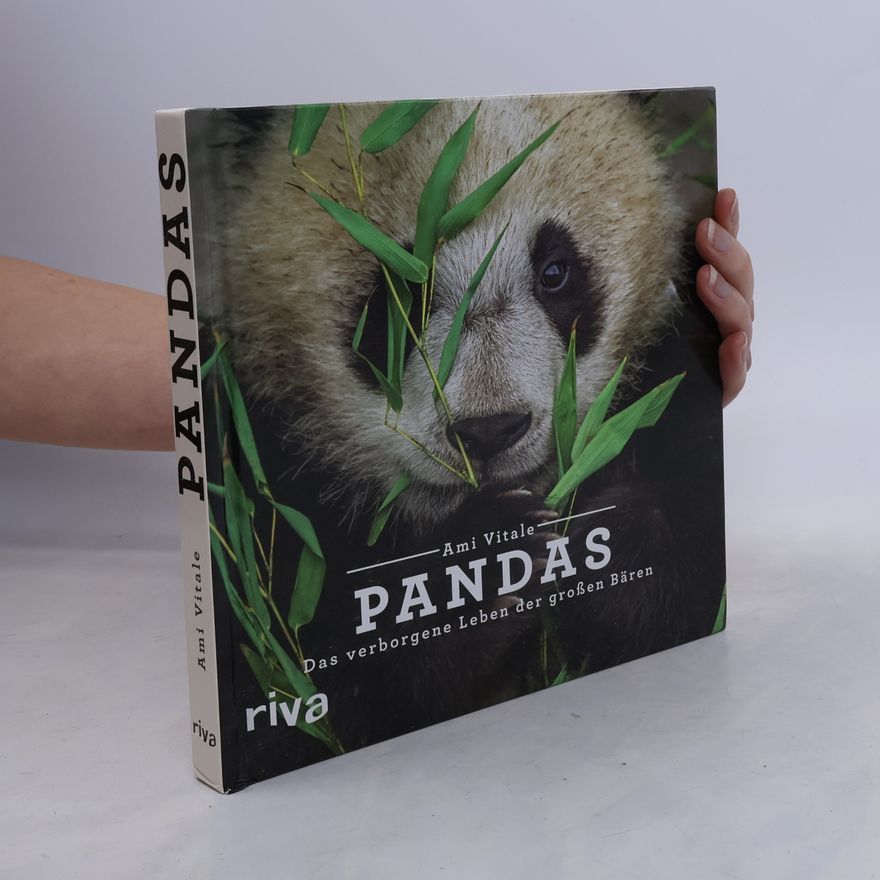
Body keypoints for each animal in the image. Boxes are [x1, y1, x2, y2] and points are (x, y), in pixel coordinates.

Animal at [197, 93, 725, 772]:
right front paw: (490, 566)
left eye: (555, 272)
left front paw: (600, 542)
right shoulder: (256, 473)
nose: (490, 431)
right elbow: (302, 684)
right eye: (401, 293)